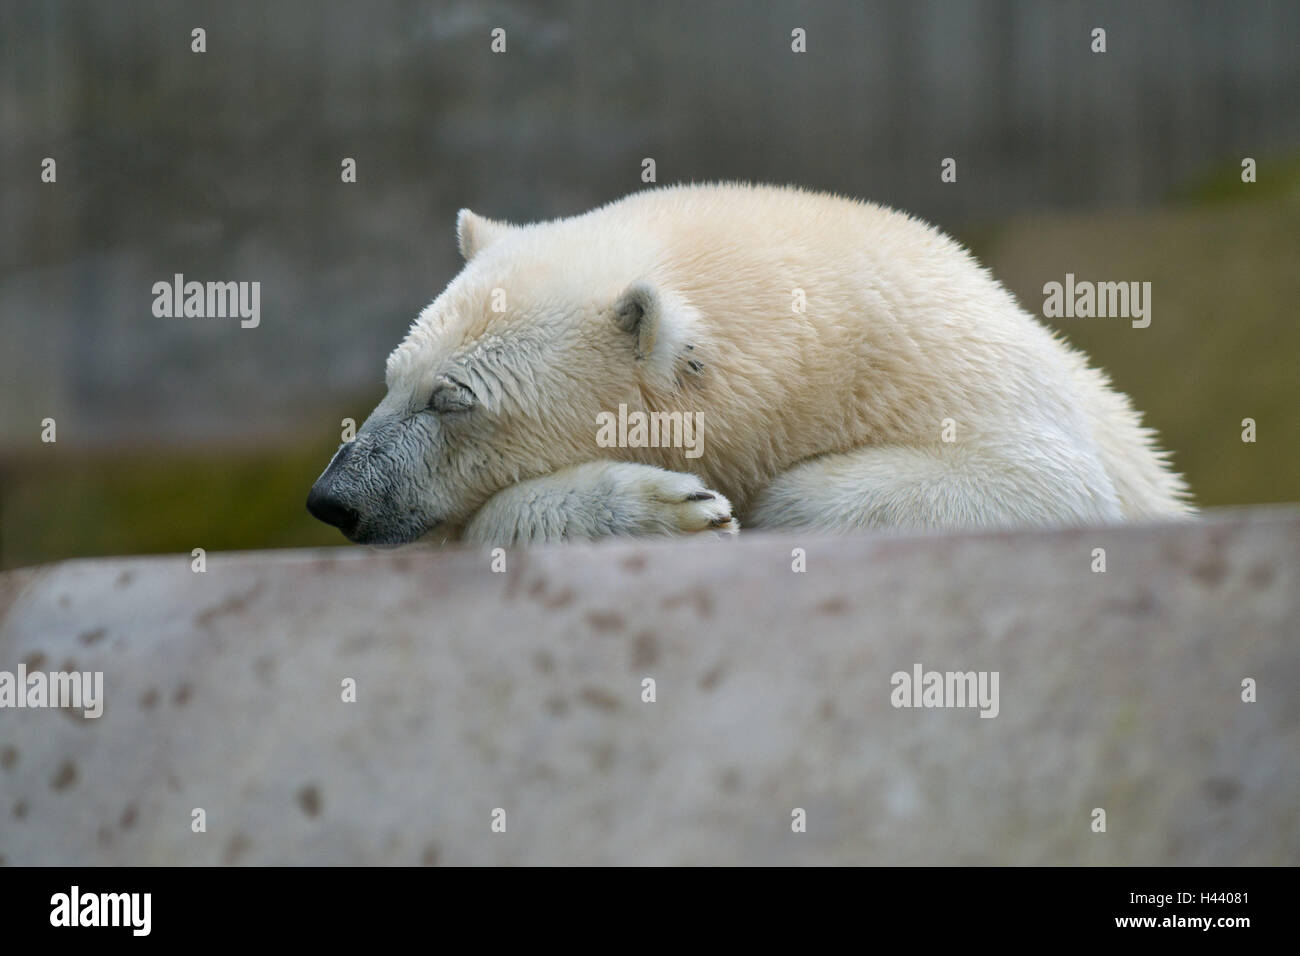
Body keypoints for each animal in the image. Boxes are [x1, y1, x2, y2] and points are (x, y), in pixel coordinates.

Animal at [307, 183, 1191, 546]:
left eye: (450, 400)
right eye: (391, 377)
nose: (333, 500)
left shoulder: (961, 376)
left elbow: (1042, 485)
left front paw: (772, 505)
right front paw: (676, 507)